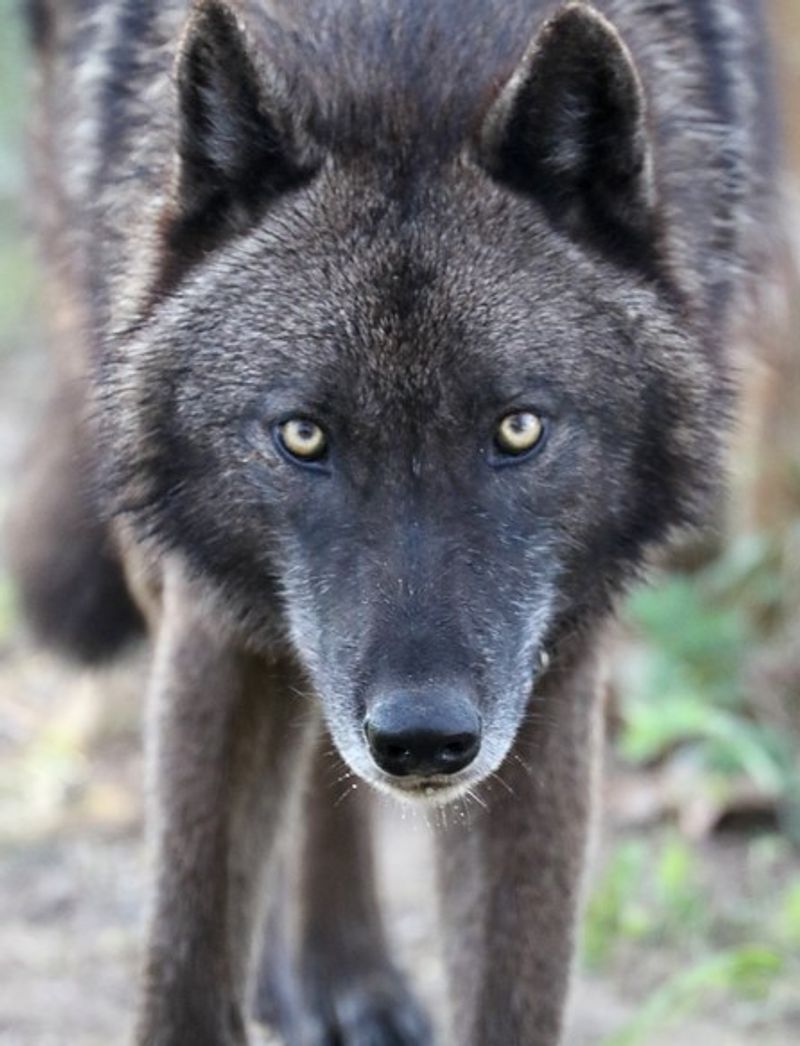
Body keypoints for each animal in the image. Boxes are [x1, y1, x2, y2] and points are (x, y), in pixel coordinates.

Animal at [7, 0, 780, 1043]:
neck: (403, 52)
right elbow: (187, 958)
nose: (421, 738)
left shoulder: (556, 666)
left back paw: (345, 976)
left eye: (518, 428)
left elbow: (513, 986)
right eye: (302, 434)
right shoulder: (208, 615)